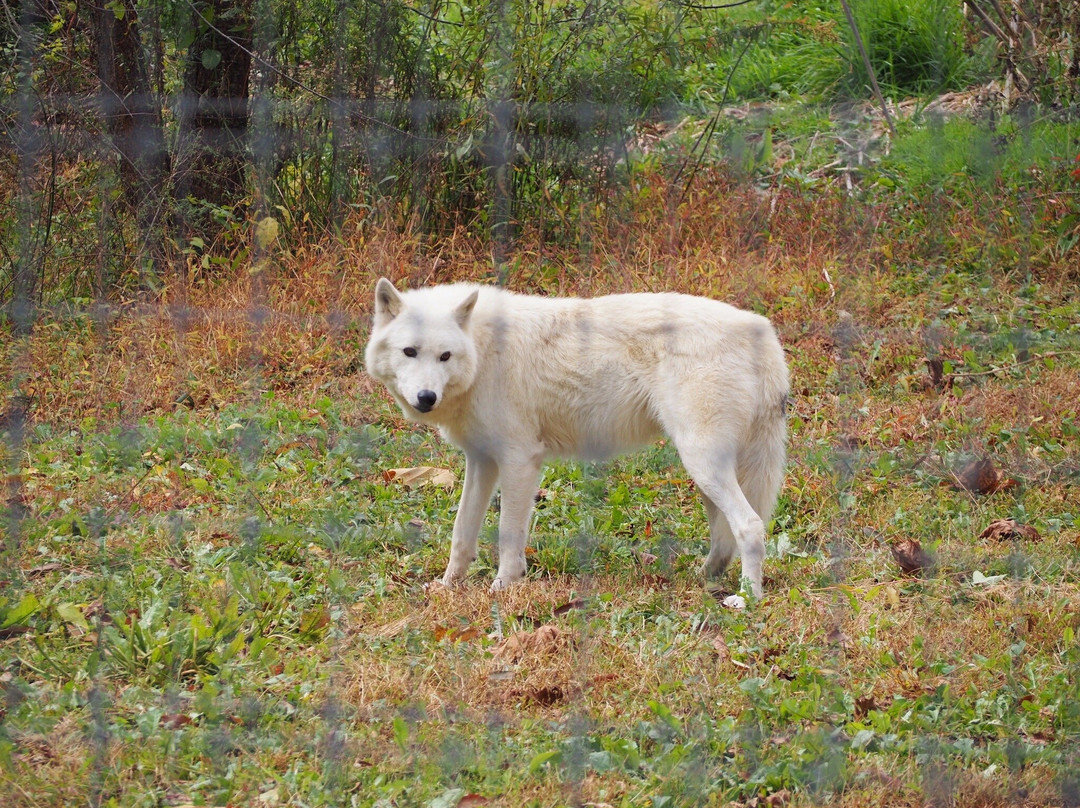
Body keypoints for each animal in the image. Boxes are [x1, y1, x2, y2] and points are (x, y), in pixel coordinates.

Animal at [364, 277, 789, 606]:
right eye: (410, 352)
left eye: (445, 356)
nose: (426, 398)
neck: (483, 351)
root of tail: (762, 328)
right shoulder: (481, 460)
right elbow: (461, 531)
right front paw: (448, 586)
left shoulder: (520, 461)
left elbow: (508, 533)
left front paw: (503, 587)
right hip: (707, 472)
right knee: (724, 536)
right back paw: (704, 577)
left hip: (704, 464)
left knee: (750, 526)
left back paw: (746, 598)